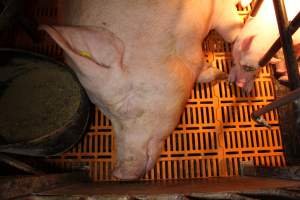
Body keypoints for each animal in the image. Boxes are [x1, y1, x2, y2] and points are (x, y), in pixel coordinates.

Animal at [39, 0, 243, 180]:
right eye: (105, 114)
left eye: (125, 110)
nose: (119, 173)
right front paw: (218, 74)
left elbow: (232, 35)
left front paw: (227, 74)